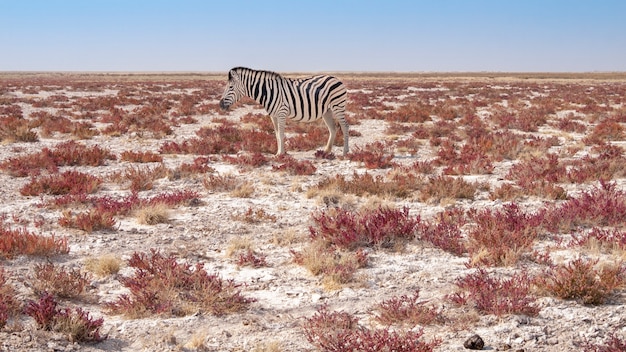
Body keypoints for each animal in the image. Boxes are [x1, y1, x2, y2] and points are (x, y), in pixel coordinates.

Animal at [218, 67, 346, 155]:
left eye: (230, 87)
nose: (220, 105)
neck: (268, 91)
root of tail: (336, 78)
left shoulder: (281, 113)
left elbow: (281, 133)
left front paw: (281, 153)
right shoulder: (273, 115)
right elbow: (276, 134)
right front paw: (278, 153)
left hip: (338, 106)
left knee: (345, 126)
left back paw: (345, 152)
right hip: (327, 111)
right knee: (333, 129)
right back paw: (326, 151)